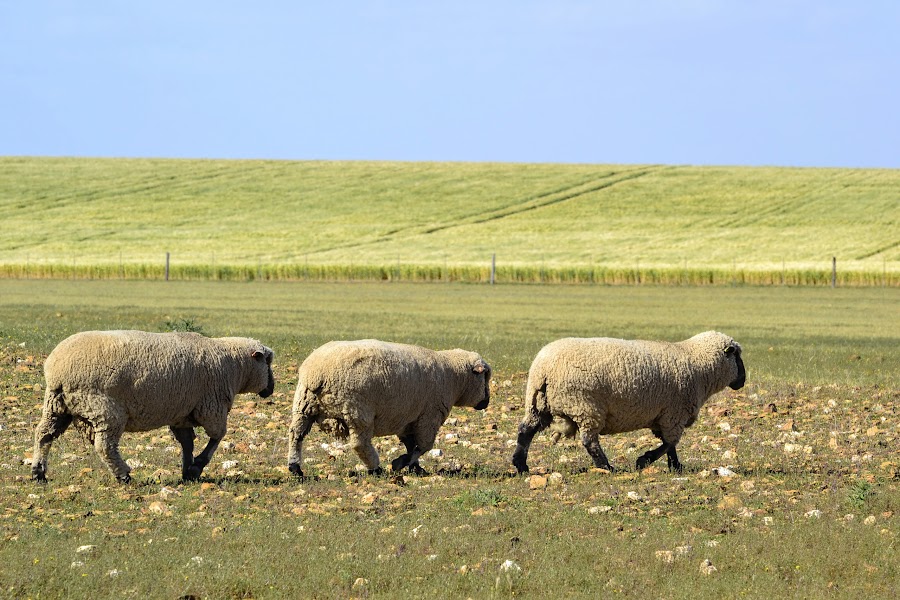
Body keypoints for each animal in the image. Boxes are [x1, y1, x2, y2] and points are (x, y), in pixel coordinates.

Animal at [32, 330, 274, 486]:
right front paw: (197, 466)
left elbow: (187, 443)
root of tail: (57, 368)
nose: (271, 388)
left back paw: (38, 473)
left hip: (57, 405)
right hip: (105, 409)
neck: (233, 365)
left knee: (43, 435)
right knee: (105, 446)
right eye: (268, 362)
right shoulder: (211, 407)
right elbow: (217, 437)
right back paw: (124, 476)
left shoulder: (182, 413)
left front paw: (188, 470)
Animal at [290, 342, 492, 478]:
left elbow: (411, 445)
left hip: (303, 405)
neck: (453, 376)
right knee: (360, 444)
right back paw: (375, 468)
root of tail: (318, 373)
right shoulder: (429, 417)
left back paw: (295, 468)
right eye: (485, 377)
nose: (486, 402)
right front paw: (400, 463)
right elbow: (424, 446)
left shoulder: (409, 420)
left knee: (295, 436)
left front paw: (415, 467)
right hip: (358, 410)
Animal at [512, 330, 744, 476]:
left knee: (526, 431)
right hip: (585, 406)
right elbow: (670, 443)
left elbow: (669, 445)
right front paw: (645, 460)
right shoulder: (673, 414)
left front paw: (675, 466)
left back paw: (521, 465)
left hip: (538, 403)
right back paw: (606, 467)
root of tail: (544, 368)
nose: (742, 380)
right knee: (589, 441)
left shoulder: (664, 416)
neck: (698, 365)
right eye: (737, 356)